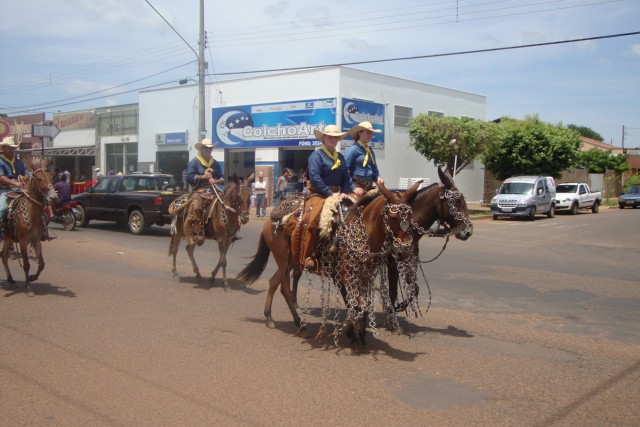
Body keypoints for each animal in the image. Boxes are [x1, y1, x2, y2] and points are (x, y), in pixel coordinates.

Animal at [1, 158, 57, 298]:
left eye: (51, 177)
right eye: (39, 178)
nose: (53, 197)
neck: (32, 214)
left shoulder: (36, 241)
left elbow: (41, 263)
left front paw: (32, 278)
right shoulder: (23, 242)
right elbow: (26, 264)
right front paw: (28, 286)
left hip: (8, 238)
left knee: (3, 256)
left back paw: (11, 280)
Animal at [235, 182, 420, 346]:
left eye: (411, 218)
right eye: (393, 218)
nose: (404, 251)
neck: (360, 234)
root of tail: (271, 220)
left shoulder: (364, 277)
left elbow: (362, 305)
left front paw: (359, 334)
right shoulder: (344, 277)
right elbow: (354, 304)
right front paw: (352, 333)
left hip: (289, 262)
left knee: (274, 282)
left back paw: (269, 317)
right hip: (283, 261)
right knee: (286, 290)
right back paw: (300, 324)